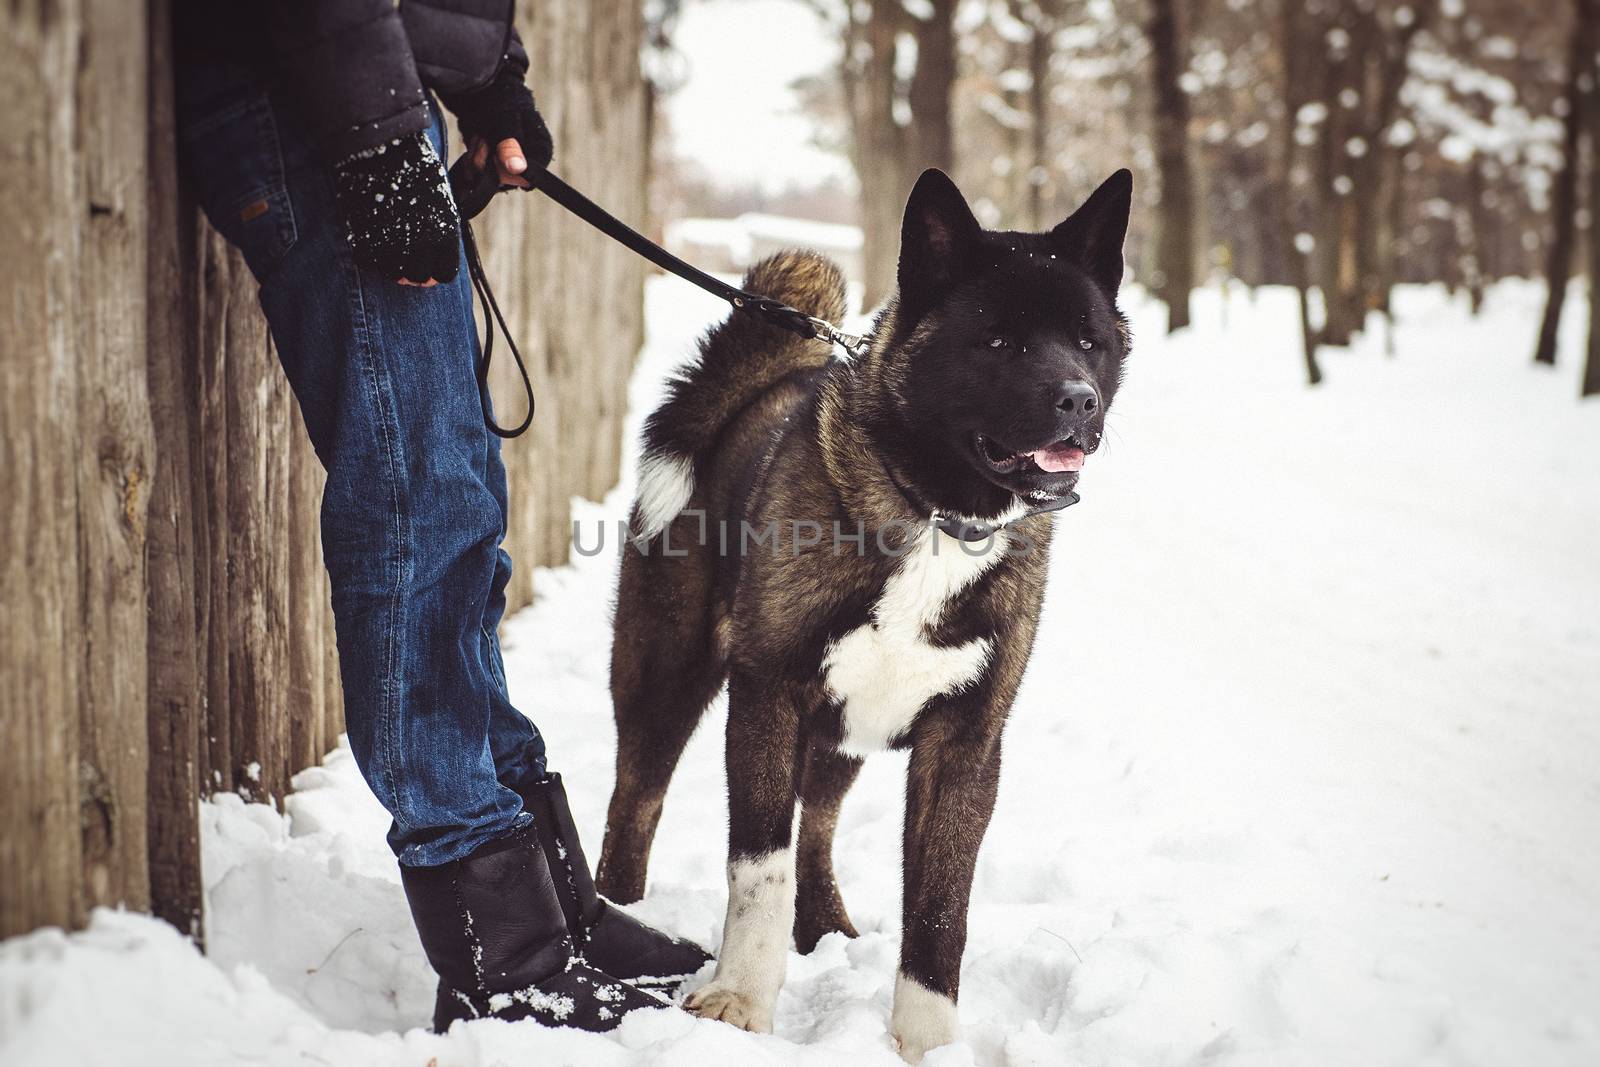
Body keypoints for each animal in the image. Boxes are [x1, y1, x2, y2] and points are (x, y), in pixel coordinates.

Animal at [595, 167, 1132, 1062]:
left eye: (1088, 341)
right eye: (998, 342)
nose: (1078, 402)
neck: (937, 514)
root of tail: (756, 385)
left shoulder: (966, 744)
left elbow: (940, 906)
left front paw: (927, 1042)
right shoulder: (769, 699)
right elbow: (760, 866)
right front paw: (742, 999)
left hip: (842, 730)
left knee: (818, 824)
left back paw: (825, 926)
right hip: (666, 681)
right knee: (634, 805)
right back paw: (621, 912)